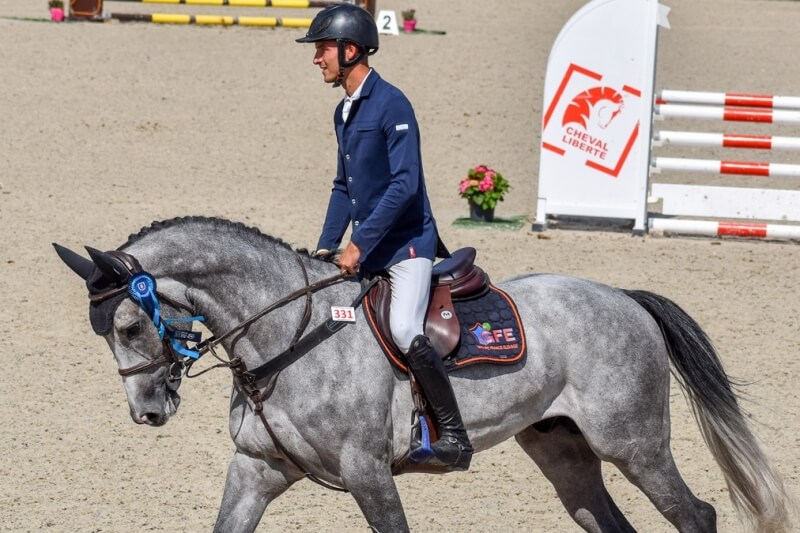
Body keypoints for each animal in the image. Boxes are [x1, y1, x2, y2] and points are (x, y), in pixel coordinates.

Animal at [54, 216, 793, 533]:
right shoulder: (257, 466)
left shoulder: (368, 473)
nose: (148, 411)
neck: (285, 336)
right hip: (563, 448)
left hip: (634, 444)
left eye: (128, 326)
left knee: (695, 514)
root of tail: (625, 298)